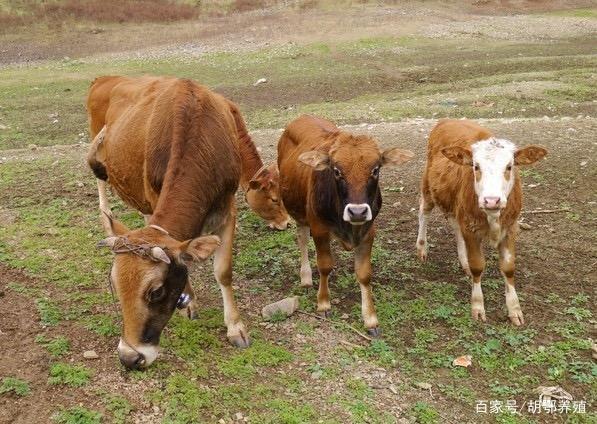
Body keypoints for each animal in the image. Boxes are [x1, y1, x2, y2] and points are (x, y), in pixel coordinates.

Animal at [86, 74, 288, 230]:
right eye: (274, 199)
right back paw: (106, 211)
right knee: (99, 176)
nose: (286, 223)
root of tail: (102, 79)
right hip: (98, 137)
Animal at [86, 75, 249, 368]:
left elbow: (223, 271)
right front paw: (190, 303)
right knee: (101, 181)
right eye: (115, 286)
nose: (129, 358)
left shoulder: (227, 211)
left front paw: (235, 327)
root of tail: (103, 78)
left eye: (156, 291)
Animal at [416, 118, 548, 324]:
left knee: (455, 225)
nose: (491, 200)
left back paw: (463, 261)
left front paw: (514, 309)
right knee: (424, 212)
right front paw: (477, 306)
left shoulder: (511, 227)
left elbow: (508, 268)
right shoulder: (471, 228)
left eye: (509, 167)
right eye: (476, 166)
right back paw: (422, 247)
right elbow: (477, 265)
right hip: (429, 187)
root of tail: (447, 120)